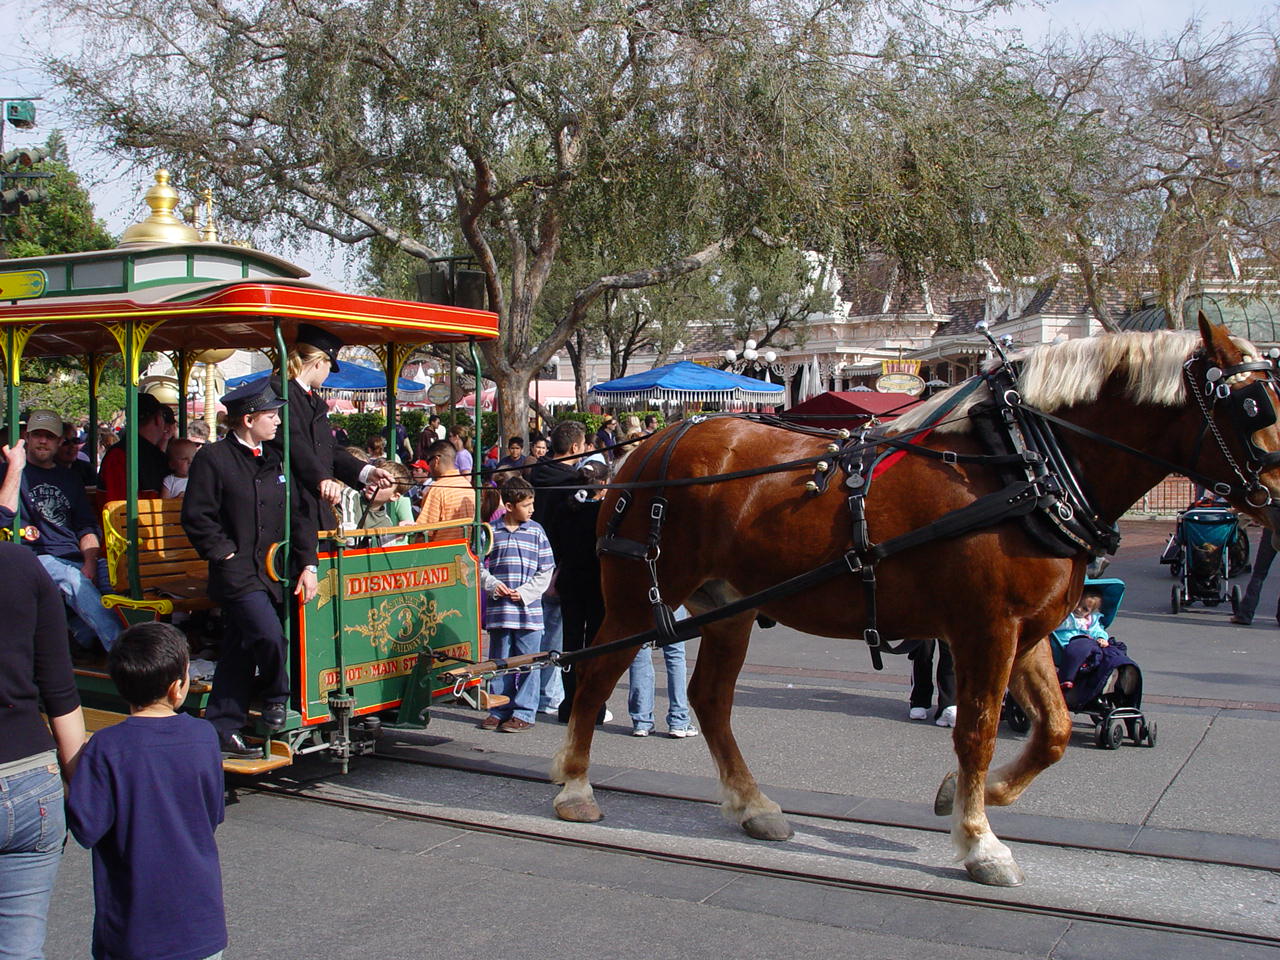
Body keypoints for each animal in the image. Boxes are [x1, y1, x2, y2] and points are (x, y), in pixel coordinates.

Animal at [550, 321, 1280, 885]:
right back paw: (576, 787)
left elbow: (1052, 732)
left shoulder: (1028, 632)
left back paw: (754, 806)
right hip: (640, 600)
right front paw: (980, 842)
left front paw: (961, 796)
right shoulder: (986, 630)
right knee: (594, 673)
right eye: (1253, 407)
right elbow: (978, 730)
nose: (1277, 495)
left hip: (729, 607)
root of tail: (647, 449)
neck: (1022, 465)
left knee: (709, 698)